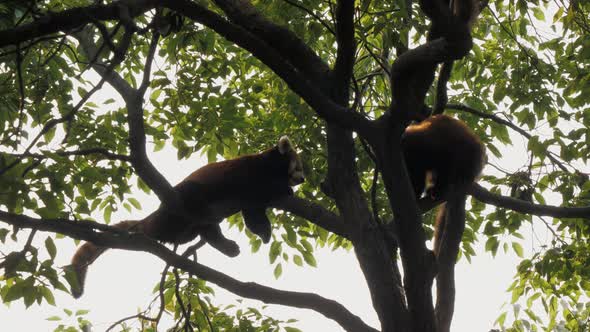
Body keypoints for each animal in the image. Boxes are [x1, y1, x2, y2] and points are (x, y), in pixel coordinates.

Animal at [70, 136, 306, 296]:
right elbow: (264, 190)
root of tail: (157, 213)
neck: (268, 163)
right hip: (185, 197)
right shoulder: (251, 174)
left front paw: (264, 233)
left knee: (206, 231)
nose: (303, 179)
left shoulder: (252, 201)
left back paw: (226, 245)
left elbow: (254, 216)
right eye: (298, 166)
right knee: (193, 200)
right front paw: (284, 189)